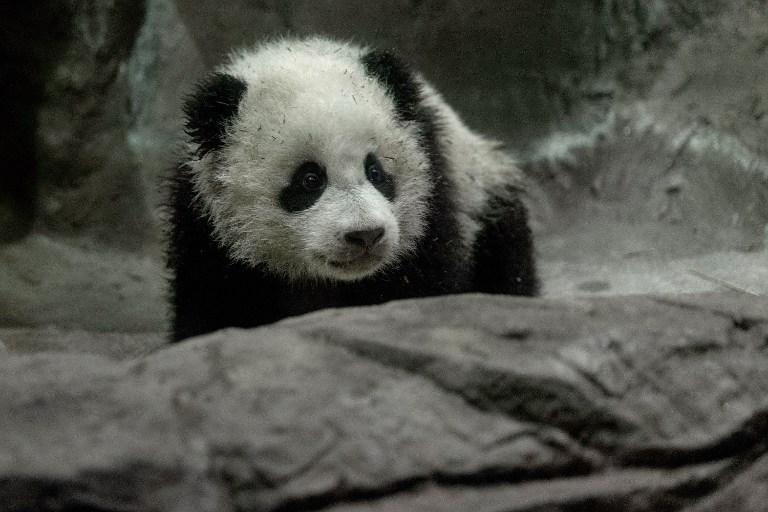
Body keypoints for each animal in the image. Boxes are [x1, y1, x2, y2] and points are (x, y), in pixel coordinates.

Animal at [167, 37, 538, 342]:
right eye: (310, 180)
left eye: (375, 171)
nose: (365, 235)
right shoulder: (205, 226)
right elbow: (212, 306)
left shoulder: (433, 195)